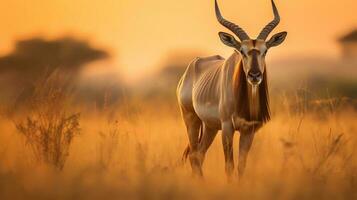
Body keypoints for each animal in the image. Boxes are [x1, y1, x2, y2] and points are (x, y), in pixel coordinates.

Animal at [176, 0, 286, 178]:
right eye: (242, 51)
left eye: (265, 51)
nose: (254, 75)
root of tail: (192, 67)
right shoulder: (227, 128)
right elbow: (229, 166)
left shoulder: (248, 131)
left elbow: (241, 167)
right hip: (192, 119)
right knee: (193, 154)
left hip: (210, 127)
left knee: (199, 154)